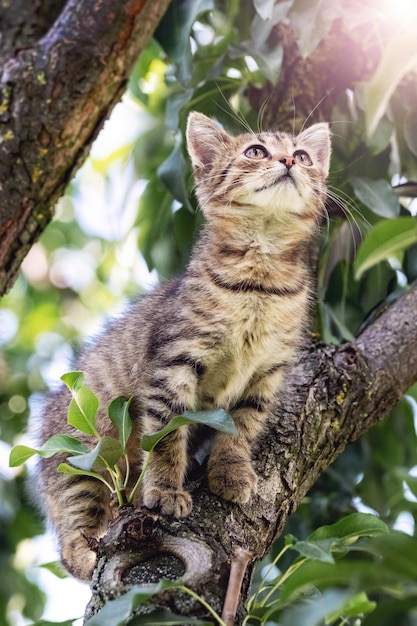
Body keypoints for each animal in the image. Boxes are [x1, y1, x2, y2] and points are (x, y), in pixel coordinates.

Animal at [36, 111, 328, 576]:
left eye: (302, 155)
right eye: (256, 151)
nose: (287, 161)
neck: (260, 281)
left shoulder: (266, 373)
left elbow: (240, 429)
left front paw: (231, 471)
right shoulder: (173, 361)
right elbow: (165, 435)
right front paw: (164, 489)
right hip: (80, 458)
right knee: (73, 536)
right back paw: (89, 547)